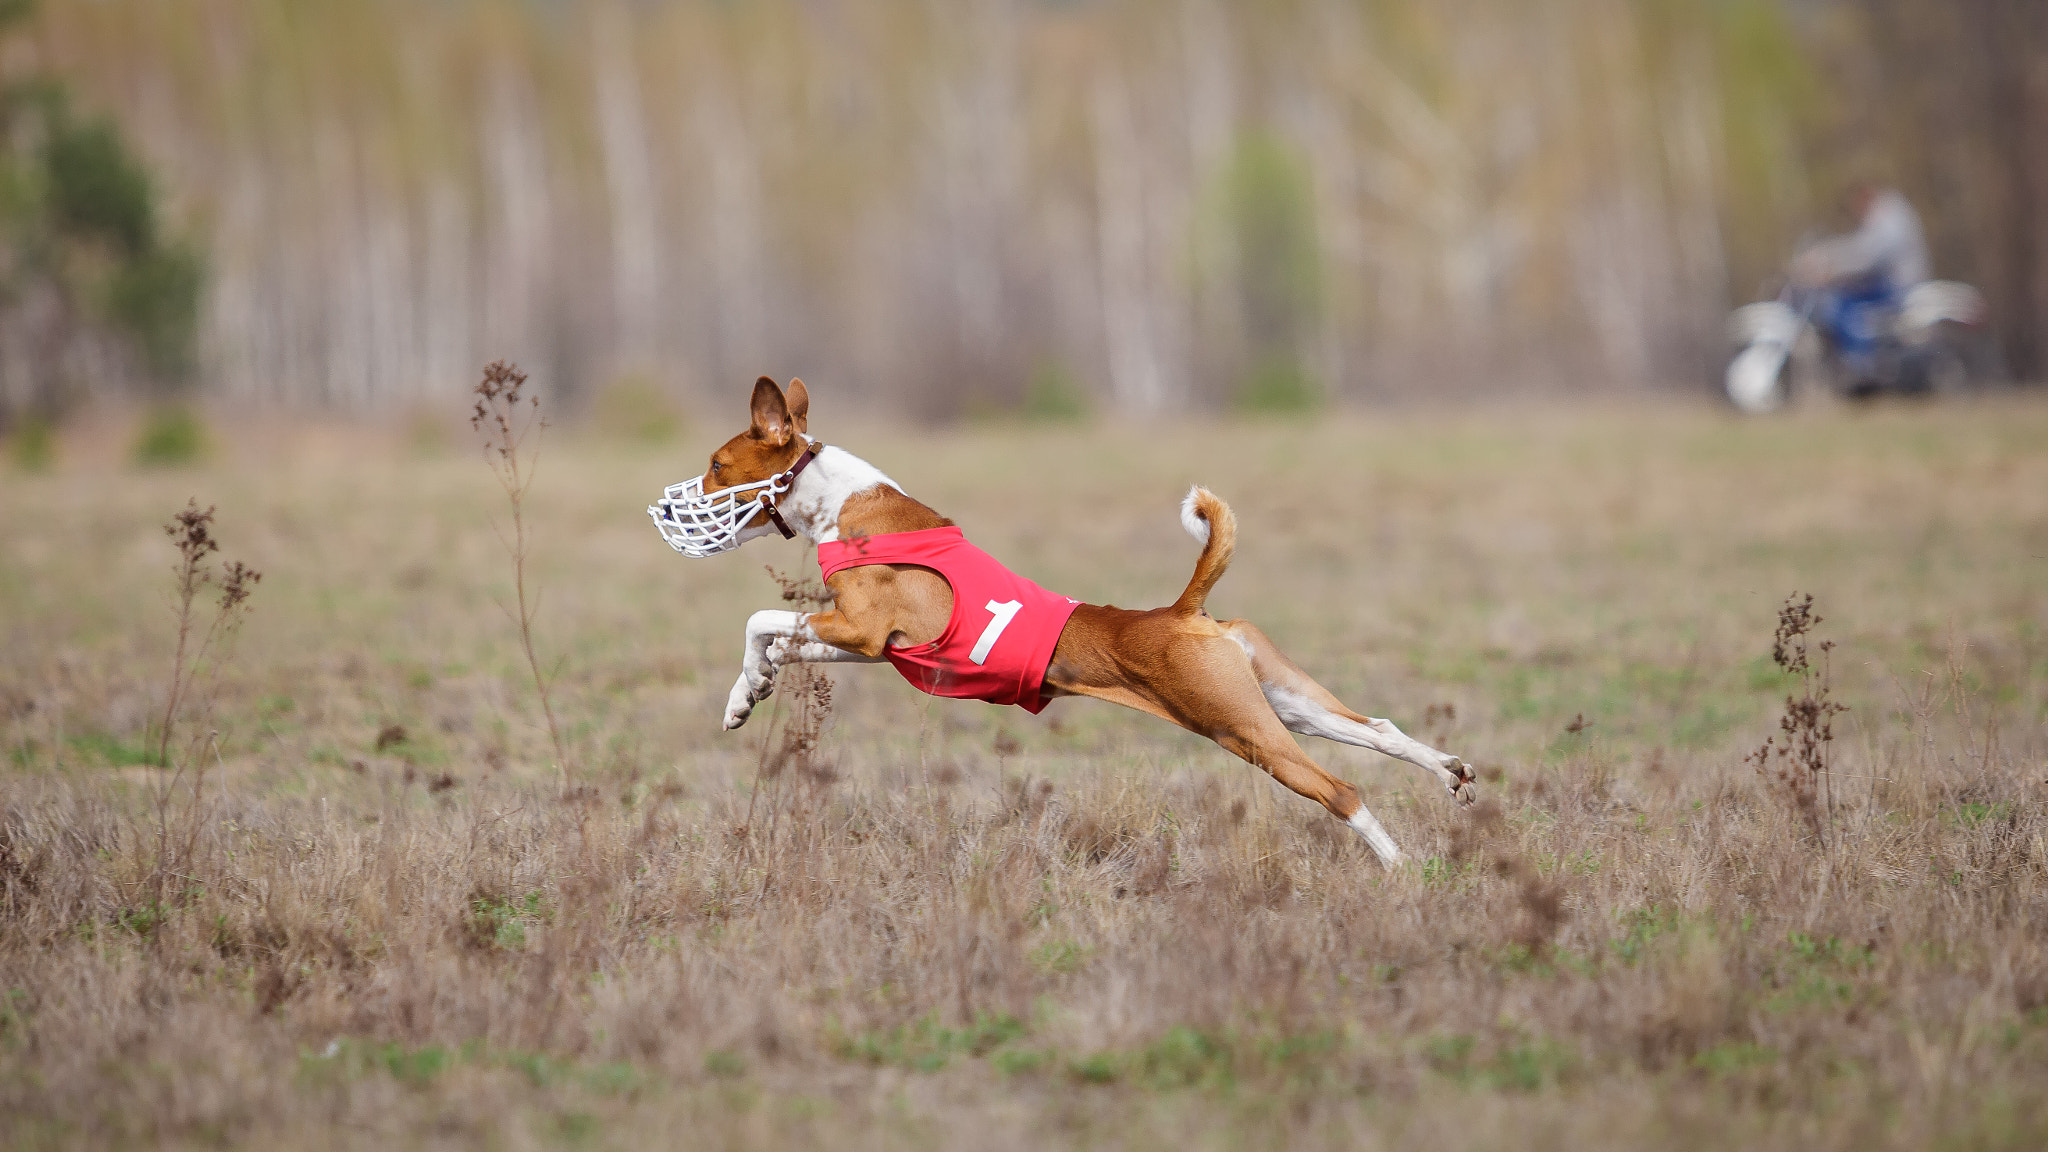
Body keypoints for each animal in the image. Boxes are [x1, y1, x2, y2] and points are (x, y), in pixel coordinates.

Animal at [651, 377, 1474, 860]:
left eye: (717, 468)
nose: (666, 507)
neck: (844, 506)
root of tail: (1185, 611)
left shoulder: (862, 629)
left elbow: (758, 618)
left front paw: (746, 687)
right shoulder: (867, 645)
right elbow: (776, 638)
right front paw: (748, 695)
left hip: (1239, 728)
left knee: (1344, 792)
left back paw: (1401, 874)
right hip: (1283, 703)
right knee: (1381, 731)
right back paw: (1451, 773)